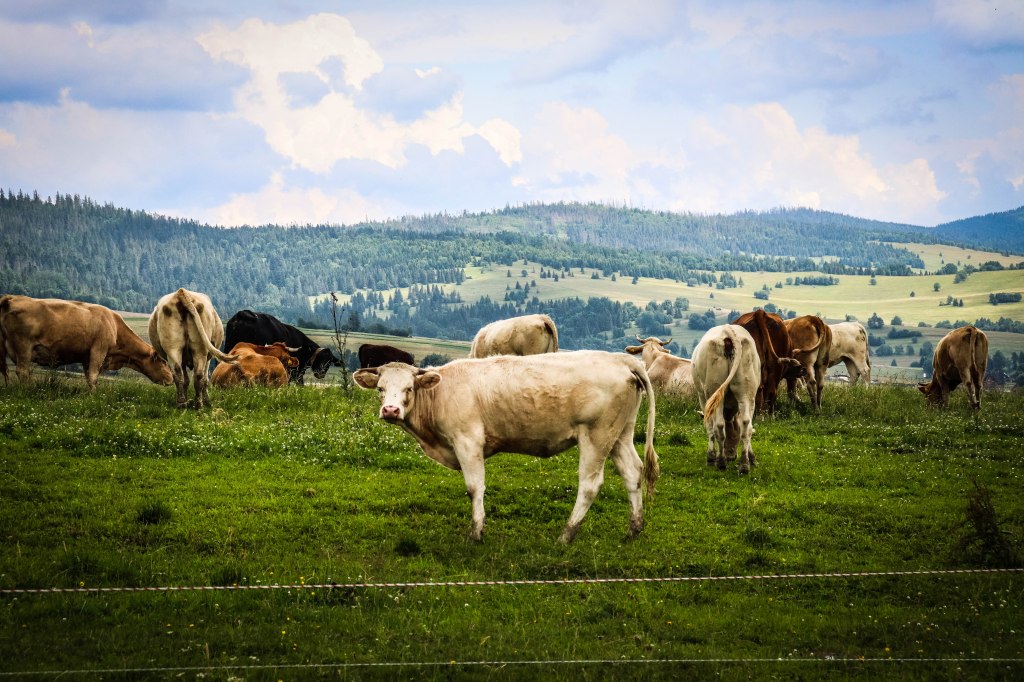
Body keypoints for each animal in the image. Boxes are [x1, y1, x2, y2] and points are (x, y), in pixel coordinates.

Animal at [0, 295, 173, 389]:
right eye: (163, 362)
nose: (171, 378)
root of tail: (12, 298)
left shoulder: (86, 357)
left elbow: (88, 376)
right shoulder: (98, 350)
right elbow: (93, 376)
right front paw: (94, 396)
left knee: (5, 371)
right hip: (24, 347)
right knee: (22, 371)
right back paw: (26, 390)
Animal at [353, 351, 659, 543]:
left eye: (409, 389)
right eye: (380, 389)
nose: (390, 410)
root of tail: (620, 358)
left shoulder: (468, 440)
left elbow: (474, 487)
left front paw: (477, 531)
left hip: (596, 435)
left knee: (590, 484)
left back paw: (566, 535)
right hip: (620, 434)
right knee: (633, 473)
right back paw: (635, 529)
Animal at [691, 325, 761, 474]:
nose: (731, 456)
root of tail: (728, 330)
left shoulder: (703, 399)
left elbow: (710, 427)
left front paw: (711, 456)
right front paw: (752, 458)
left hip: (713, 390)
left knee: (718, 426)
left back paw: (721, 461)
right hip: (747, 393)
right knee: (746, 425)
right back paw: (744, 464)